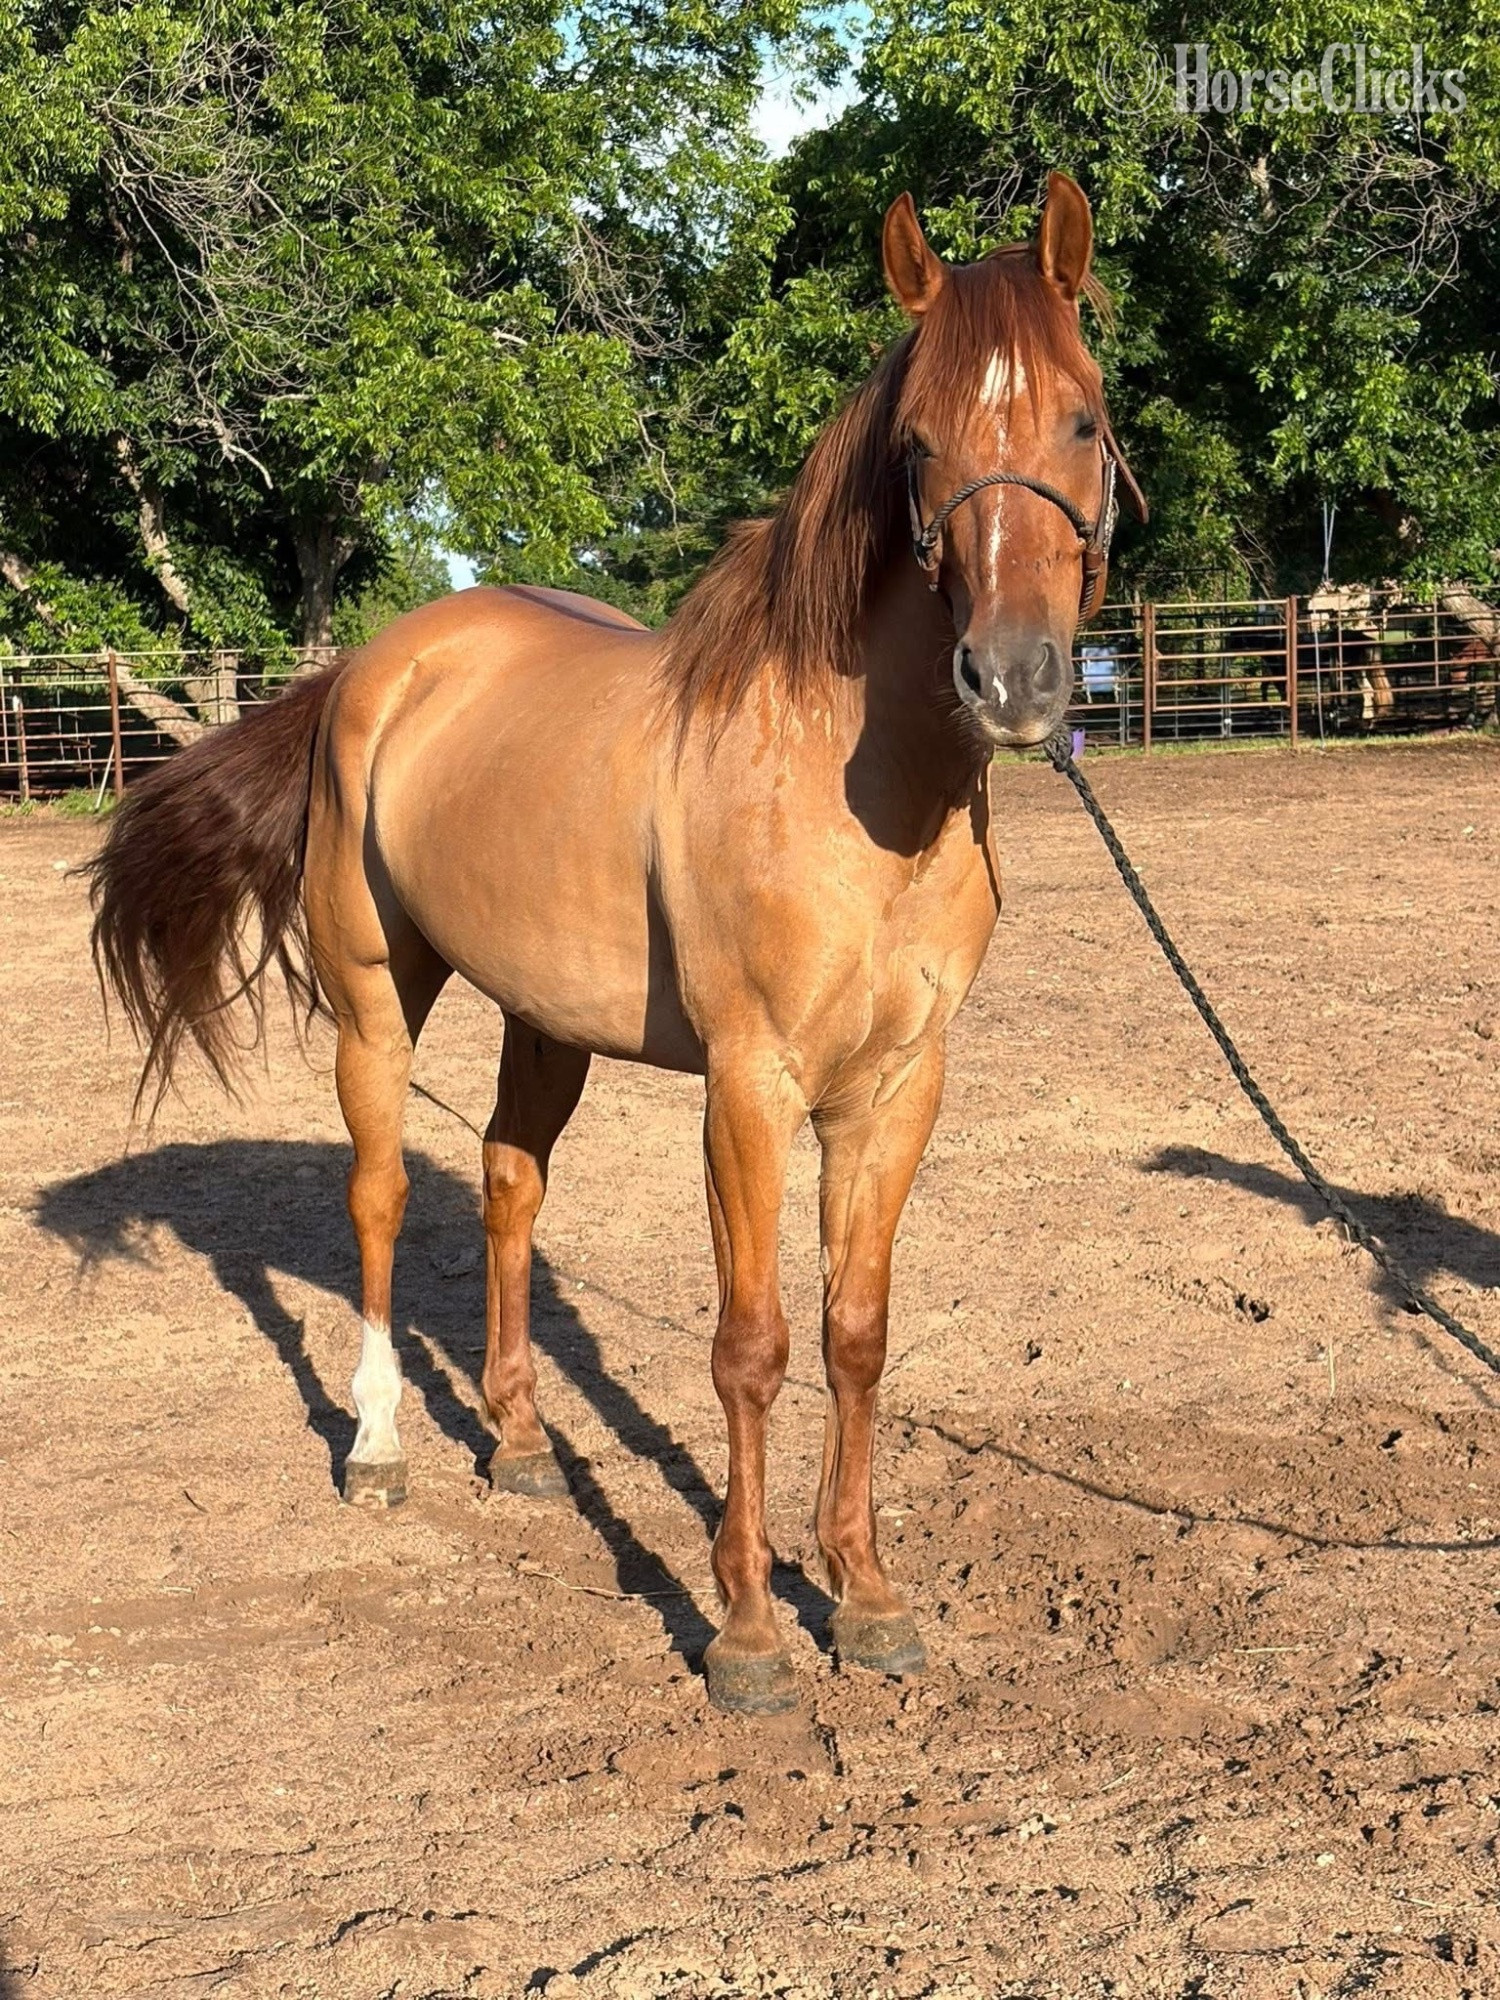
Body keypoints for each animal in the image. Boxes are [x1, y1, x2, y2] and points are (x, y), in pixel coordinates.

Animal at [87, 172, 1144, 1716]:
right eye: (919, 444)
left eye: (1081, 414)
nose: (1012, 680)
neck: (848, 779)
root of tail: (372, 667)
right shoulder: (750, 1087)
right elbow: (753, 1347)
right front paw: (750, 1629)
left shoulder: (899, 1089)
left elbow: (858, 1332)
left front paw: (867, 1596)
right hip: (374, 1000)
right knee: (382, 1197)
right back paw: (381, 1447)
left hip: (546, 1021)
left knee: (508, 1182)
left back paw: (523, 1445)